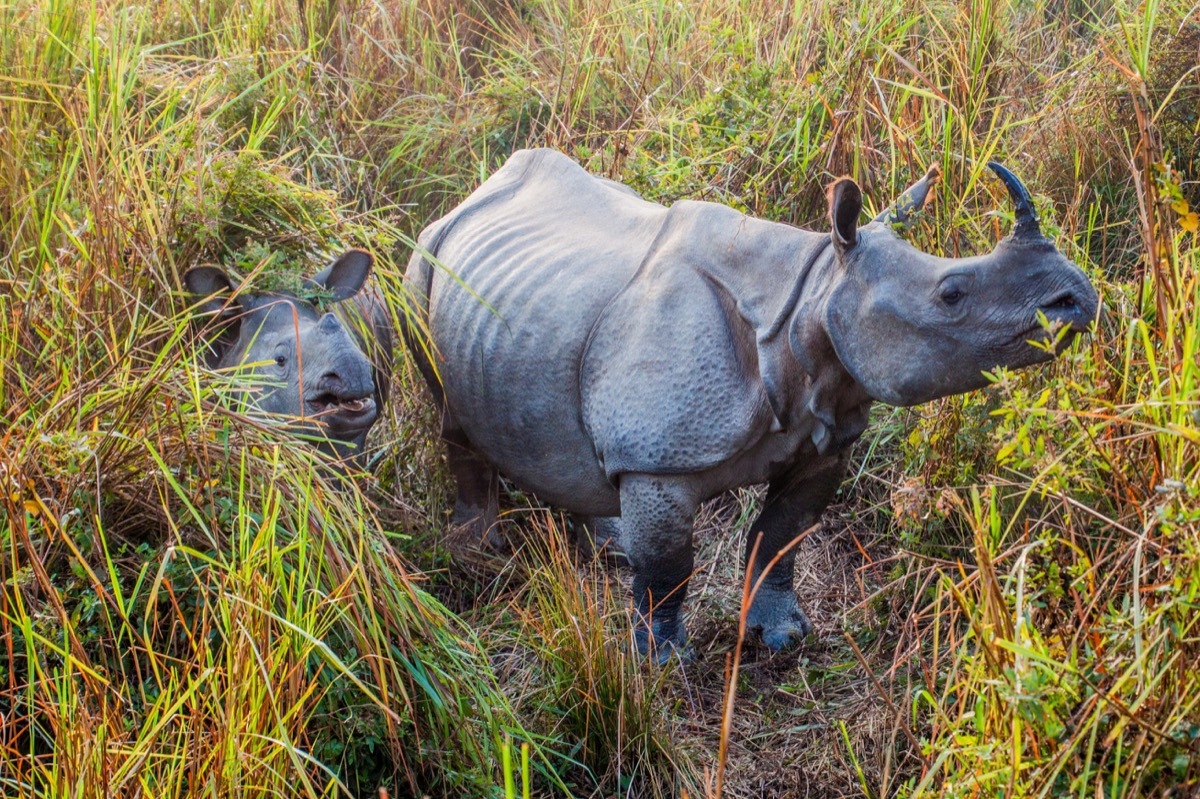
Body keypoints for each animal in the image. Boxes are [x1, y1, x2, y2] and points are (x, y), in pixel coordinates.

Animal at [404, 149, 1097, 658]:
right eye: (951, 294)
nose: (1076, 297)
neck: (814, 294)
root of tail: (472, 193)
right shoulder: (659, 459)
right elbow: (670, 566)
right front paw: (663, 661)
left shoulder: (824, 439)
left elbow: (781, 535)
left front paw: (781, 636)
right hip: (419, 264)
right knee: (448, 412)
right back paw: (477, 550)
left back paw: (609, 543)